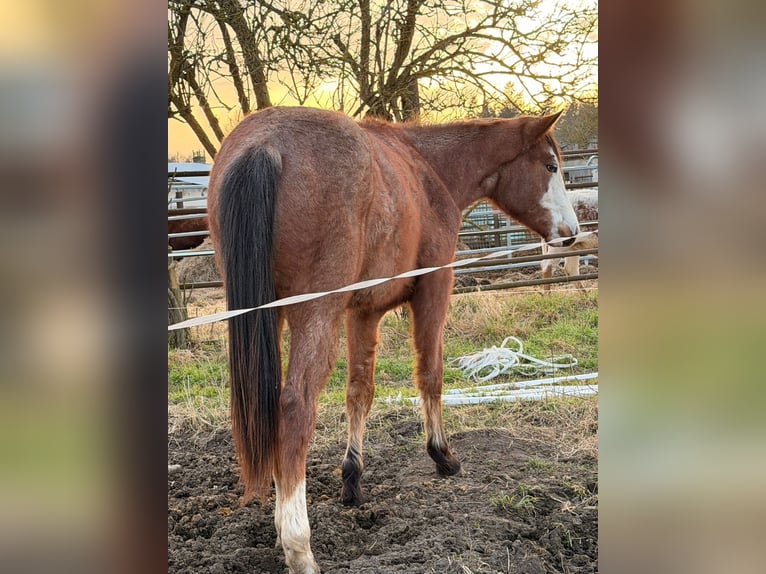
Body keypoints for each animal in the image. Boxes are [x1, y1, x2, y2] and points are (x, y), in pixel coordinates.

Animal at [207, 106, 578, 574]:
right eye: (550, 166)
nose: (571, 232)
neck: (427, 170)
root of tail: (264, 143)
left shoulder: (362, 312)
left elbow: (359, 391)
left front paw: (352, 479)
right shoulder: (434, 288)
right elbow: (431, 374)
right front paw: (441, 454)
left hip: (266, 318)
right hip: (315, 314)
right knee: (294, 407)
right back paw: (298, 545)